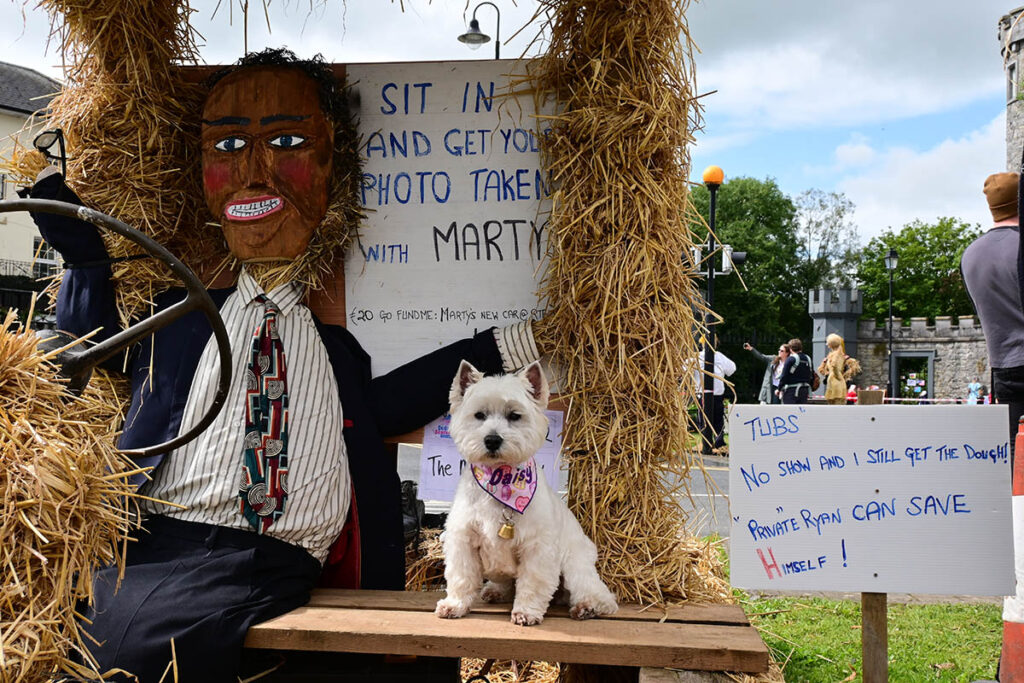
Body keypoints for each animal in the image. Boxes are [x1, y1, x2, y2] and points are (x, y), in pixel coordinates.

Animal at [432, 360, 614, 626]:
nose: (492, 439)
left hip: (575, 563)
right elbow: (461, 577)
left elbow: (533, 583)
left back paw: (587, 607)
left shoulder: (537, 547)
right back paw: (495, 590)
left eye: (514, 416)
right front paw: (454, 605)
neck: (501, 480)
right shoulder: (464, 540)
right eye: (479, 415)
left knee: (598, 592)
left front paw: (526, 612)